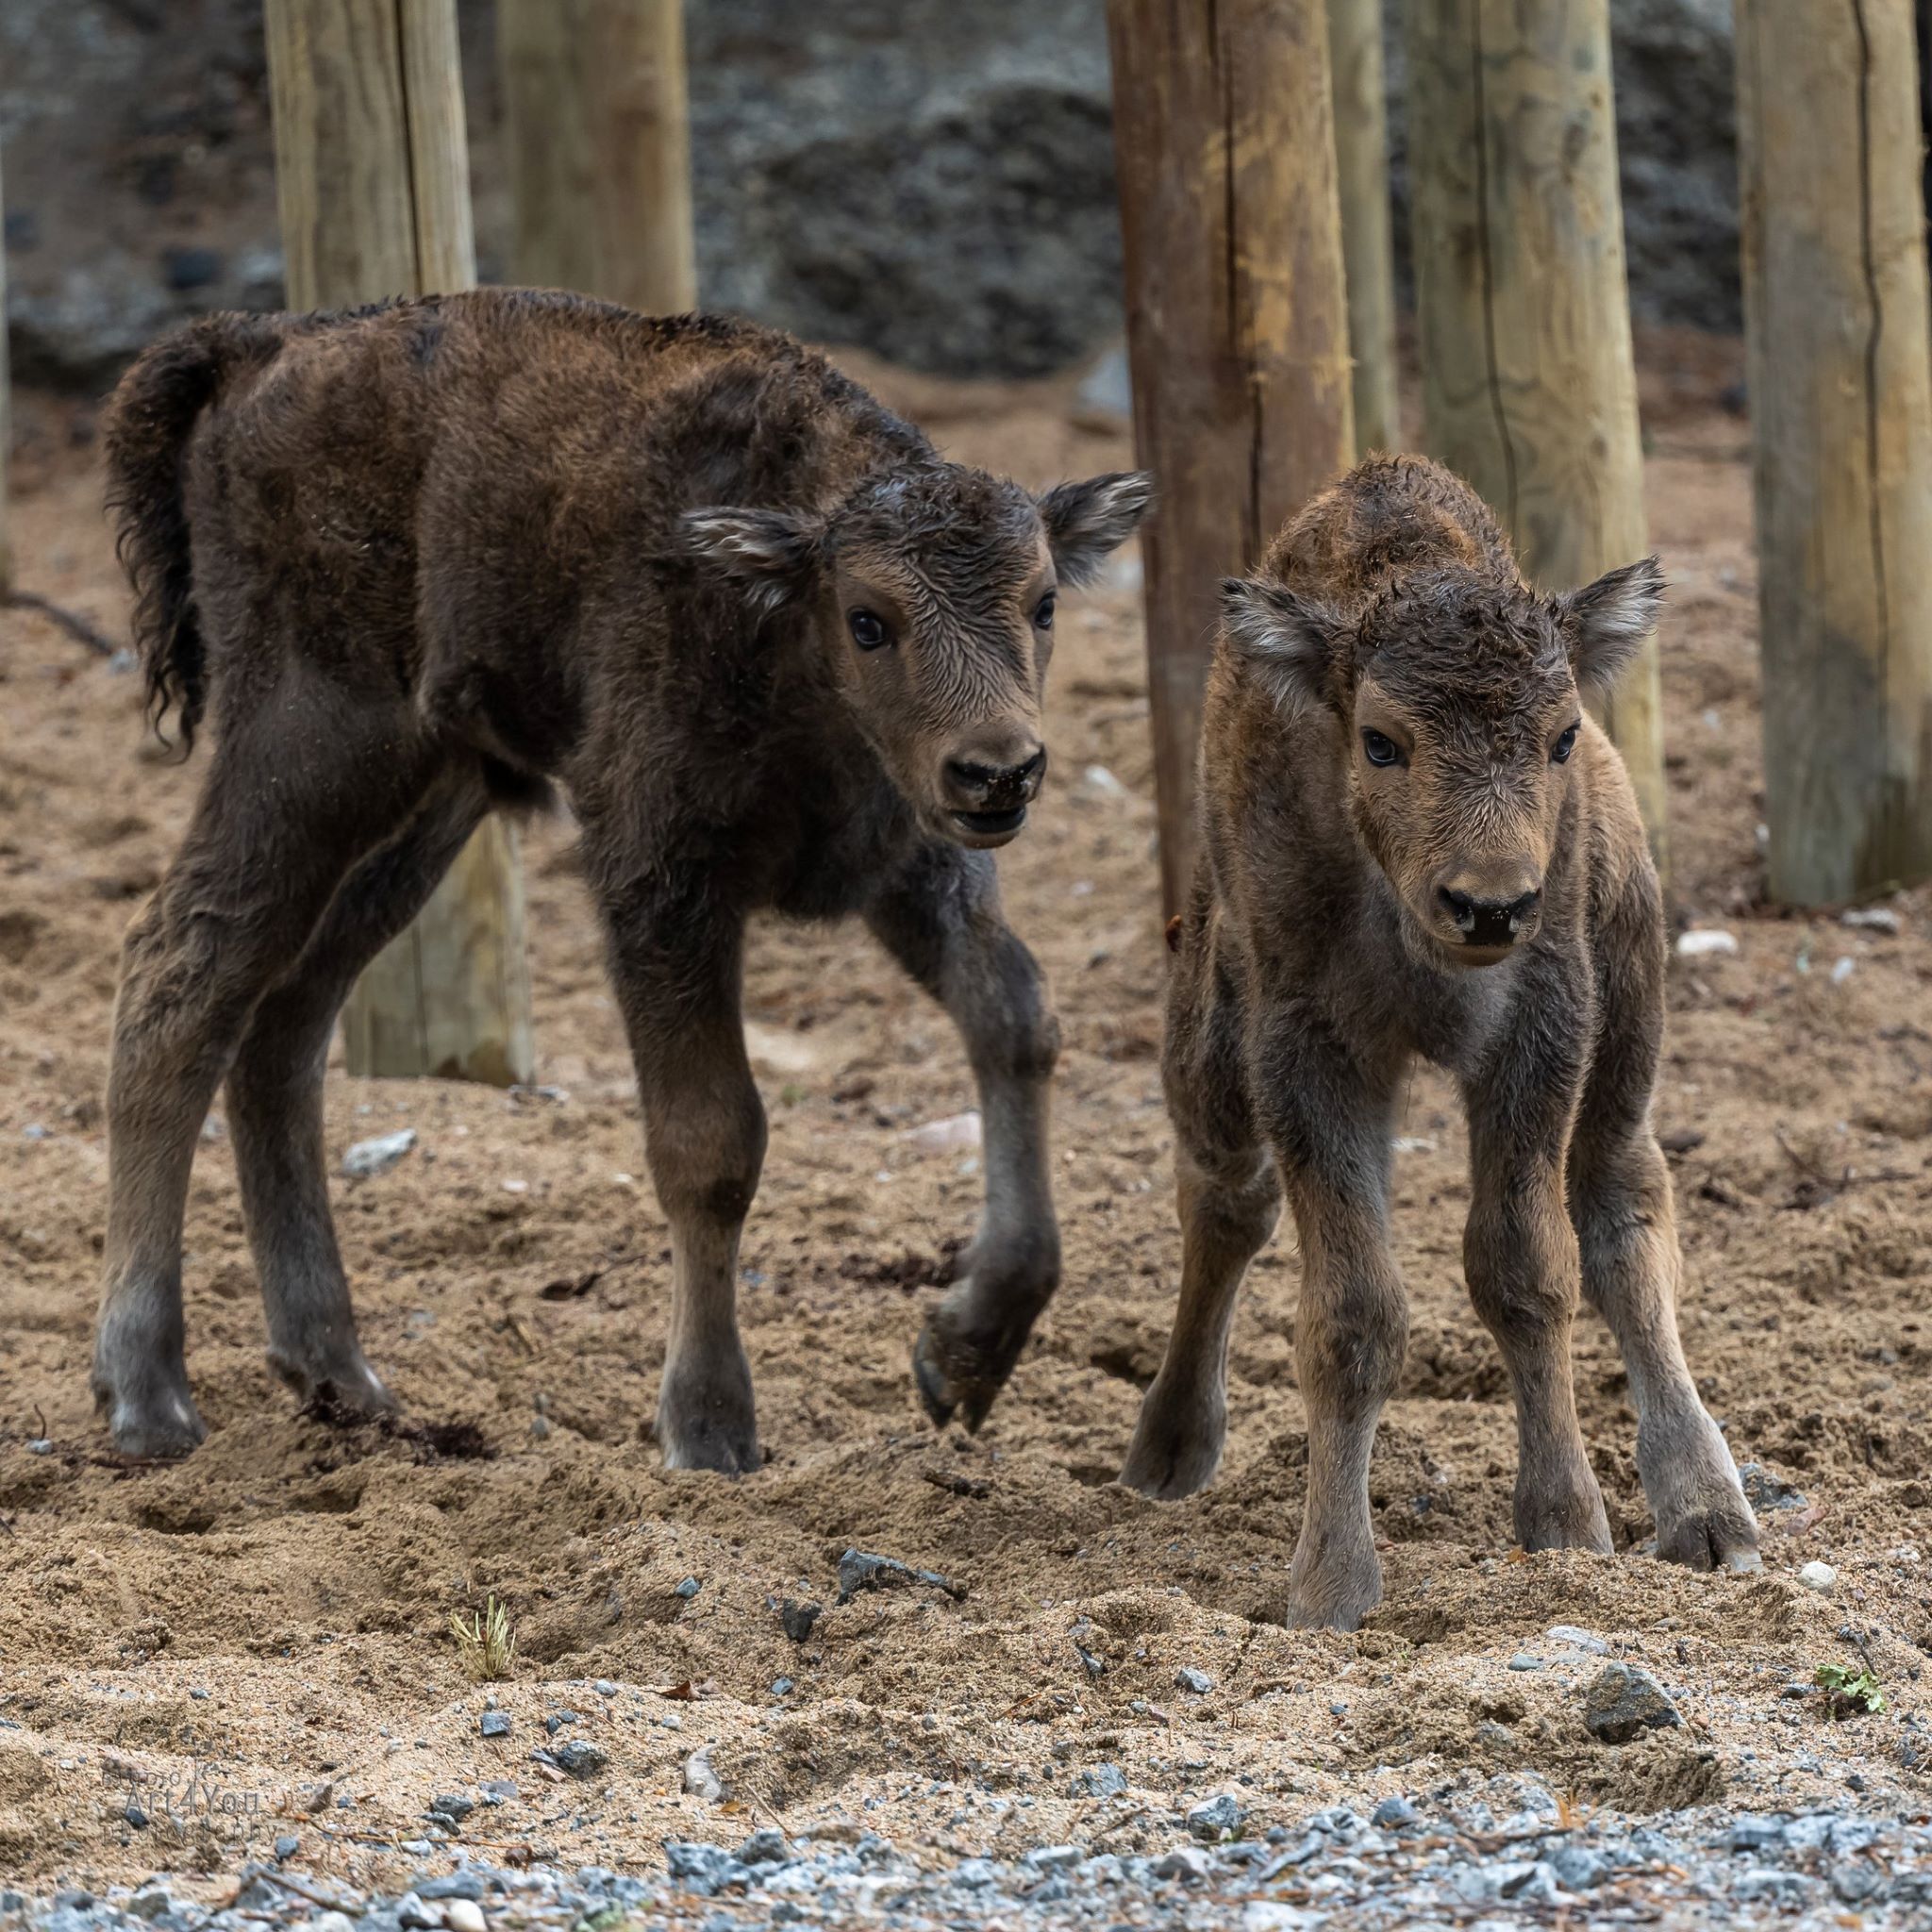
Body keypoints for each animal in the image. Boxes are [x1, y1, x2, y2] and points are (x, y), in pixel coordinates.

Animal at [93, 286, 1143, 1460]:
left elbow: (1016, 1019)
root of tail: (255, 347)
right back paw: (147, 1395)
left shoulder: (912, 867)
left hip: (427, 804)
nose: (998, 770)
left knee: (283, 1023)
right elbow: (711, 1139)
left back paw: (338, 1373)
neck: (780, 608)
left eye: (1043, 602)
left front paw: (962, 1355)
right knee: (179, 973)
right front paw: (710, 1425)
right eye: (869, 618)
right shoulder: (661, 879)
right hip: (310, 754)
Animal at [1128, 456, 1761, 1630]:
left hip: (1626, 1020)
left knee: (1619, 1206)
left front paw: (1564, 1526)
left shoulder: (1543, 1028)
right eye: (1381, 739)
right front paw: (1329, 1586)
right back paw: (1166, 1446)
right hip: (1208, 1043)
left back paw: (1707, 1511)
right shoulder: (1304, 1054)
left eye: (1560, 735)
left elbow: (1525, 1267)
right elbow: (1351, 1315)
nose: (1489, 904)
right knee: (1223, 1197)